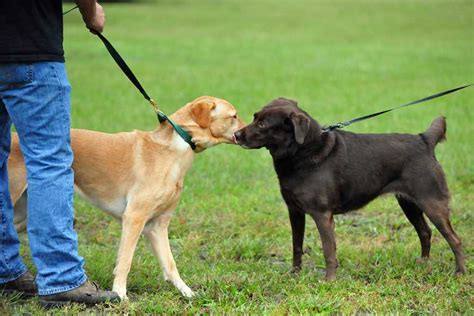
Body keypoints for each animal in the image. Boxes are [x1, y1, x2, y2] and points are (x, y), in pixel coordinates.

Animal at [10, 96, 244, 298]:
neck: (174, 149)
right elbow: (125, 261)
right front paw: (120, 294)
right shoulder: (134, 218)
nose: (244, 132)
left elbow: (170, 264)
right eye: (234, 116)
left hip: (24, 214)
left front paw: (187, 293)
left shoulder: (157, 225)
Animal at [233, 97, 466, 280]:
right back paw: (424, 263)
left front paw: (329, 281)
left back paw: (460, 272)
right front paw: (294, 274)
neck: (303, 151)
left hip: (432, 202)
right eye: (255, 117)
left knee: (454, 239)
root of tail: (424, 139)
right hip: (408, 203)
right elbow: (296, 245)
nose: (236, 135)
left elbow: (329, 251)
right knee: (425, 232)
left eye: (263, 125)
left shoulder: (322, 215)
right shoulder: (295, 211)